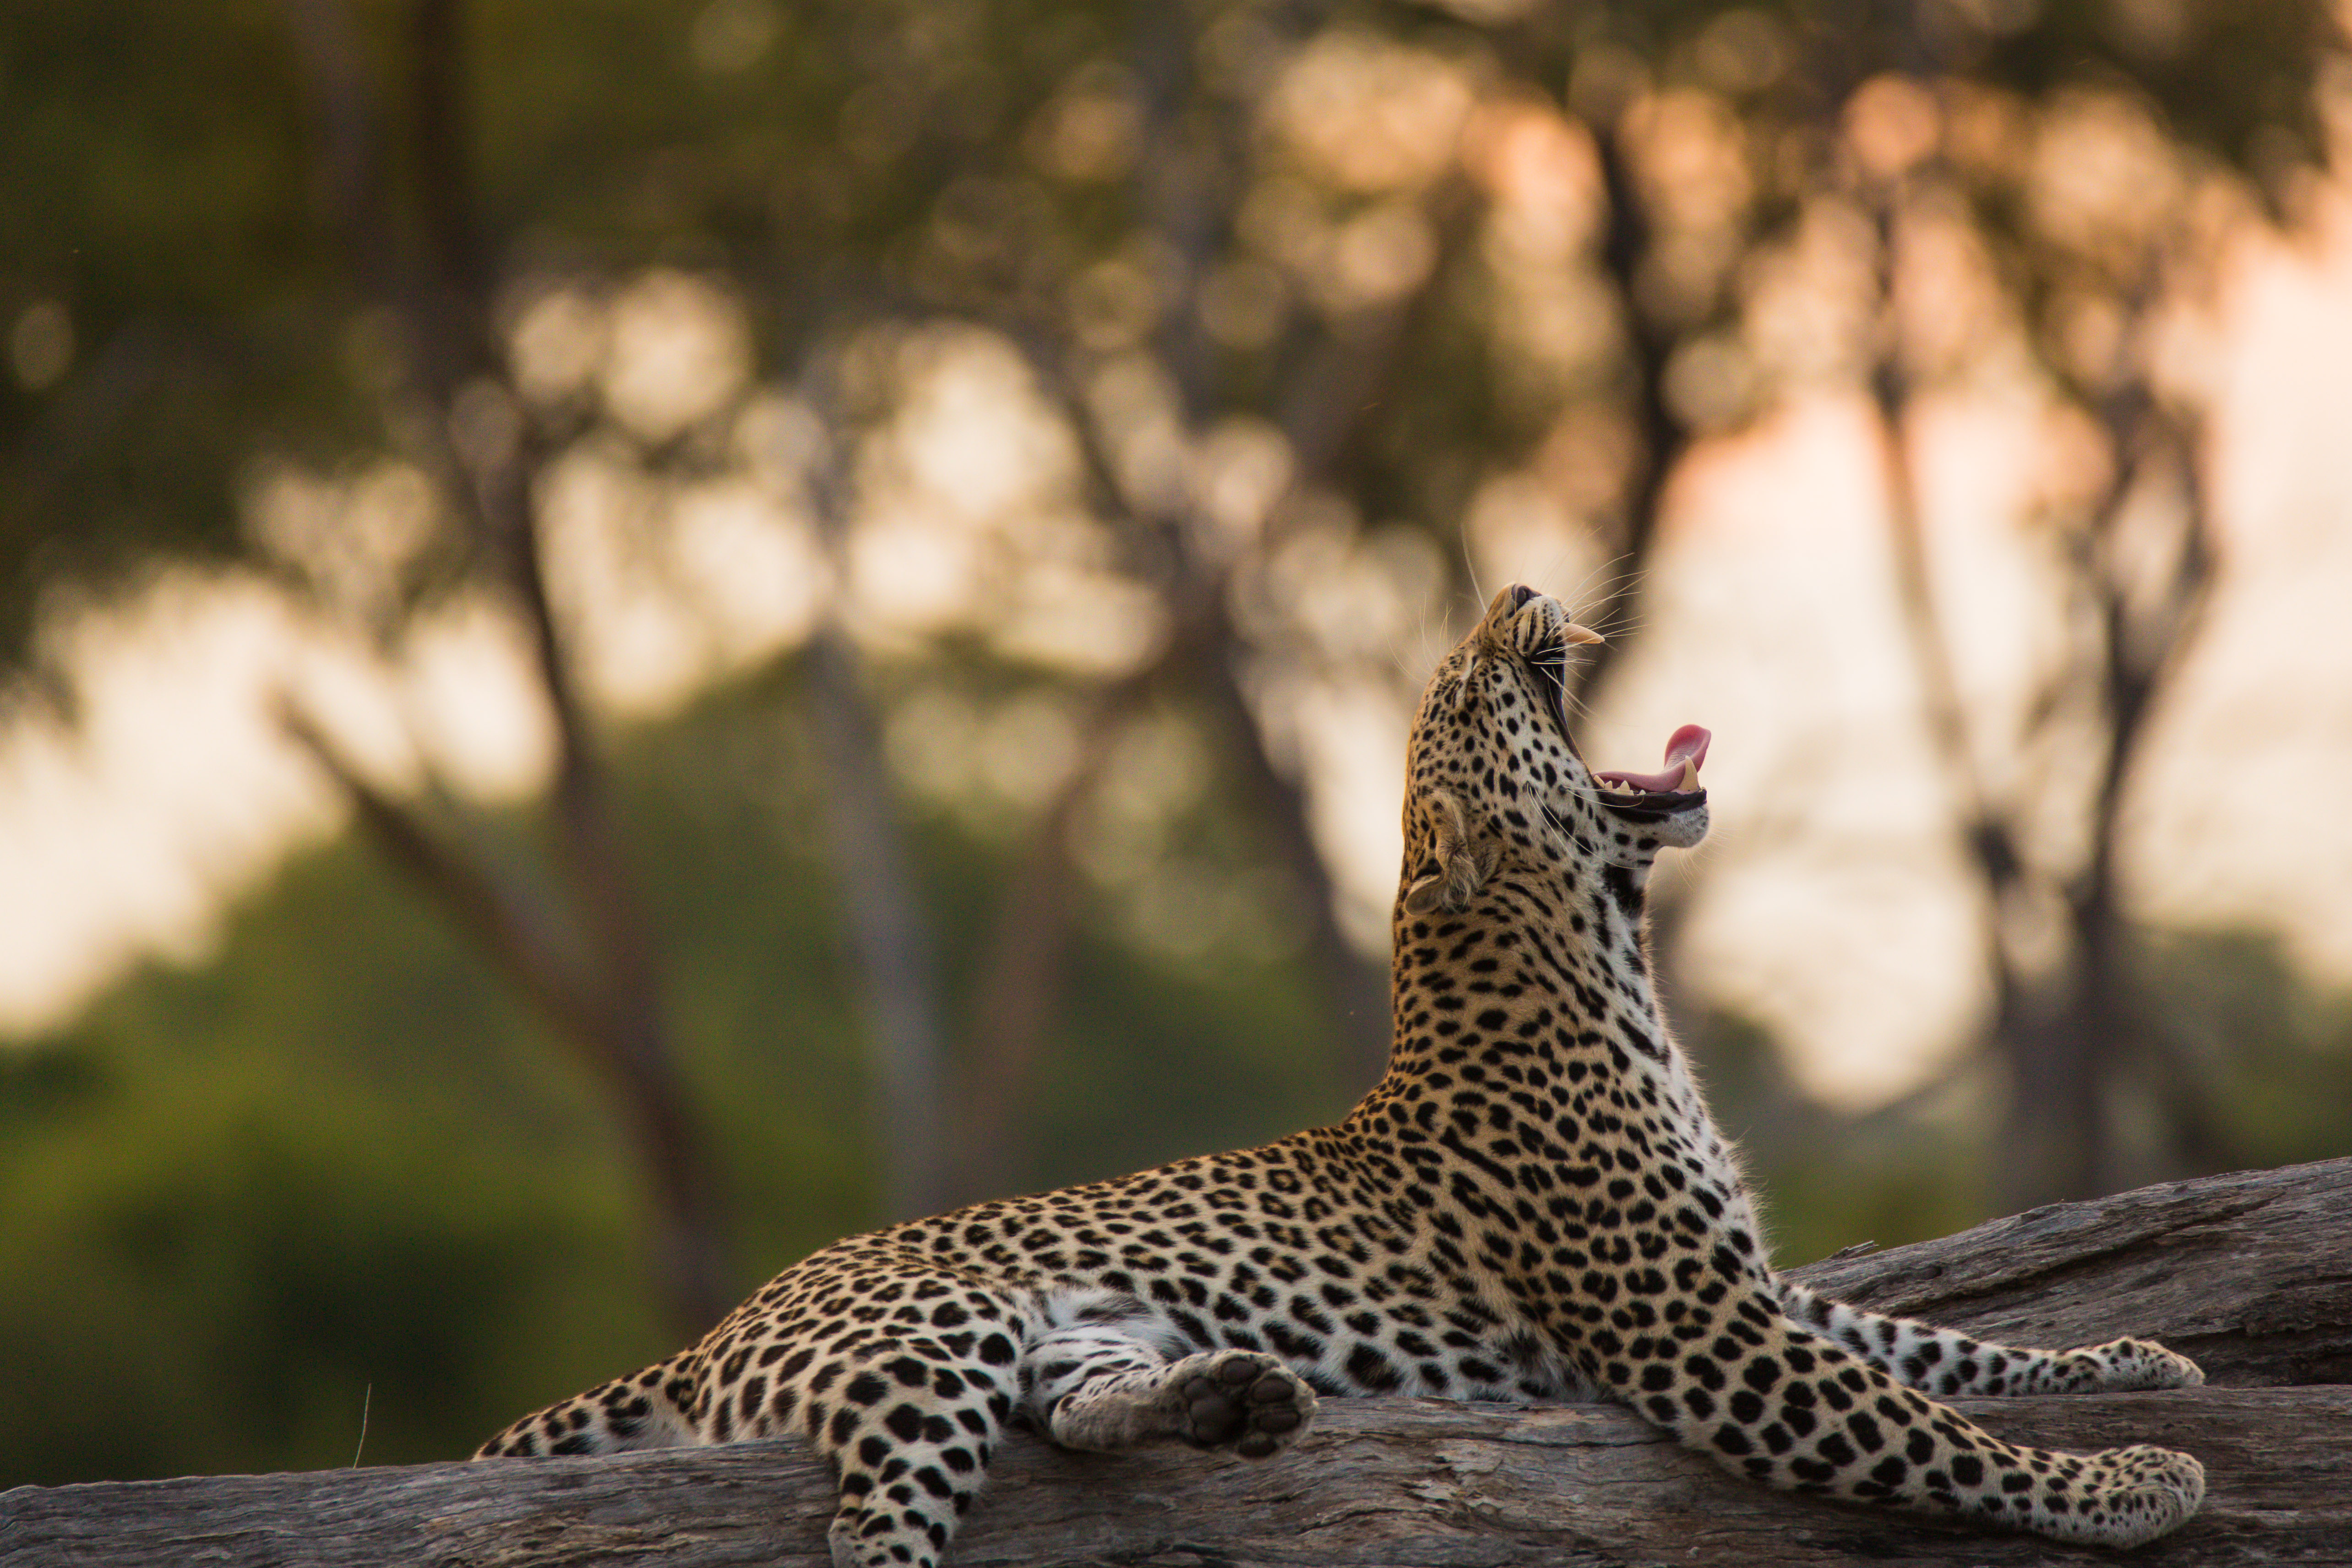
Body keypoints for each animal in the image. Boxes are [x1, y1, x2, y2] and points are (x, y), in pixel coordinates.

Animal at [476, 583, 2207, 1564]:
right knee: (876, 1529)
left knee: (1078, 1413)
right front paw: (2128, 1481)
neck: (1610, 955)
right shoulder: (1695, 1331)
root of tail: (721, 1324)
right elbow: (1929, 1428)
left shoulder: (1738, 1289)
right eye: (1459, 686)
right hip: (923, 1351)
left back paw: (1227, 1396)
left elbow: (1938, 1344)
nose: (1516, 583)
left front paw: (2131, 1360)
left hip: (1067, 1334)